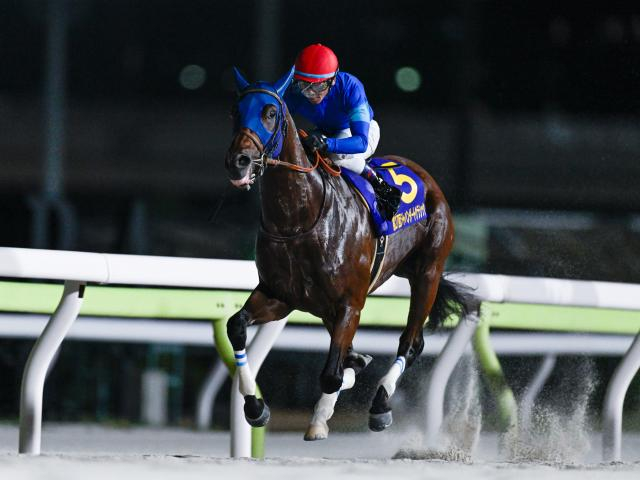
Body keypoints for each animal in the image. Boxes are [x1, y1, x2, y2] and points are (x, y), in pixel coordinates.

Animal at [223, 66, 475, 441]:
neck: (298, 219)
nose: (238, 161)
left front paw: (322, 414)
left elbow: (331, 375)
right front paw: (255, 408)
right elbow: (236, 327)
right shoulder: (280, 295)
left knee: (411, 342)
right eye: (234, 112)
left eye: (270, 113)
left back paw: (381, 404)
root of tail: (424, 176)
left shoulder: (348, 303)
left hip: (427, 271)